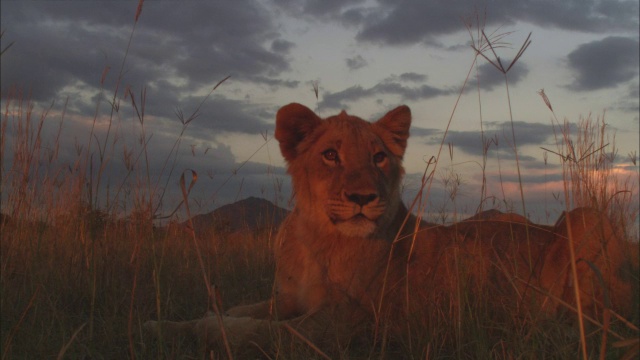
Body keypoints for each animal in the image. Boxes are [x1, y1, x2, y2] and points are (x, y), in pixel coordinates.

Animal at [146, 103, 636, 358]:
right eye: (330, 155)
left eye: (379, 156)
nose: (363, 197)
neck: (315, 238)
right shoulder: (289, 299)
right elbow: (242, 311)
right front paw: (166, 322)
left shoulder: (352, 324)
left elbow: (254, 333)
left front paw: (200, 329)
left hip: (585, 217)